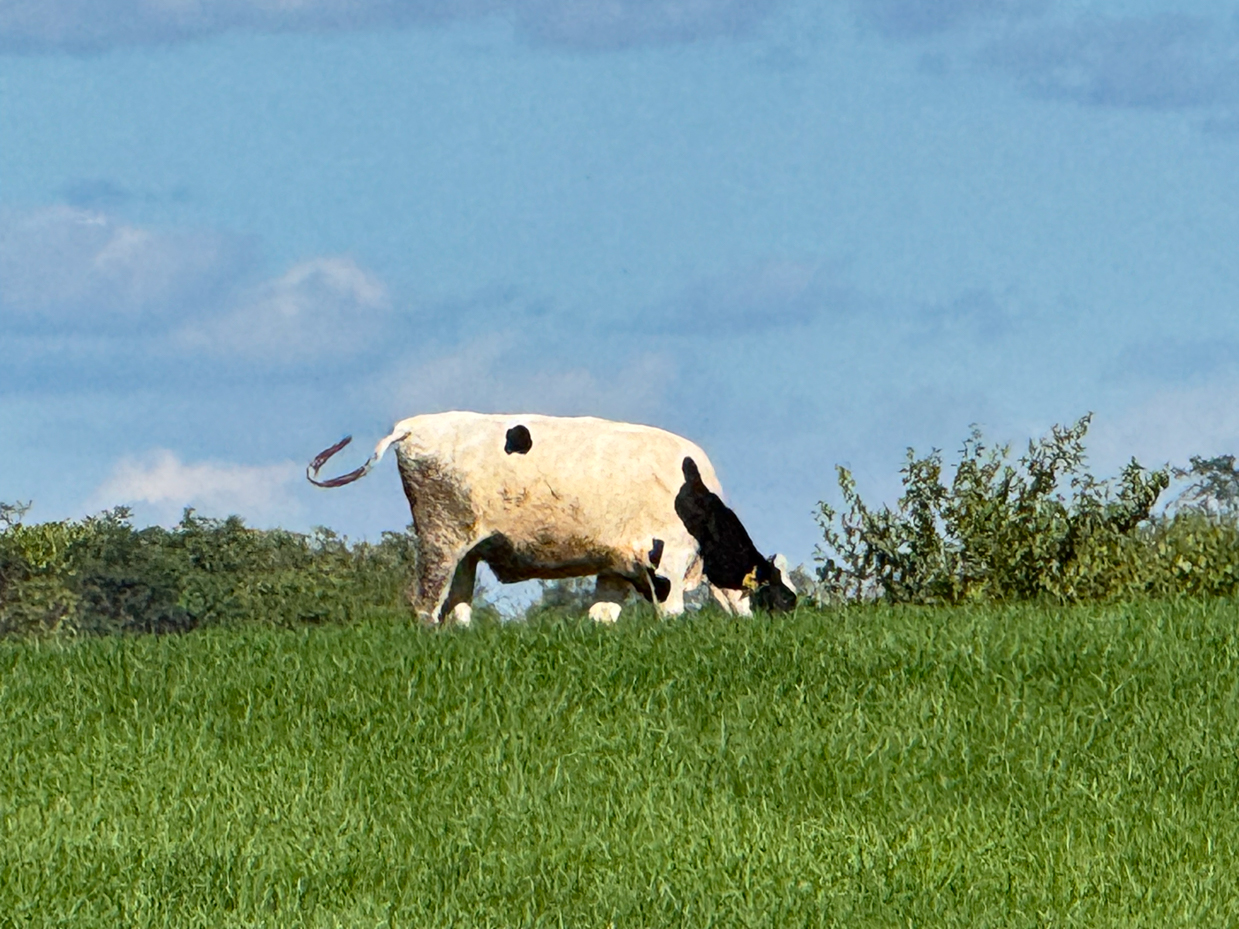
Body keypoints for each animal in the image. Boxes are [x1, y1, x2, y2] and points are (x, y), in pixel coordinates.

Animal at [304, 413, 797, 626]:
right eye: (783, 595)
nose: (788, 615)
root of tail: (412, 424)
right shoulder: (666, 562)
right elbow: (671, 614)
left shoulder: (616, 567)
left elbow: (601, 616)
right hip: (440, 536)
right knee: (425, 603)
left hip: (466, 551)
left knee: (457, 606)